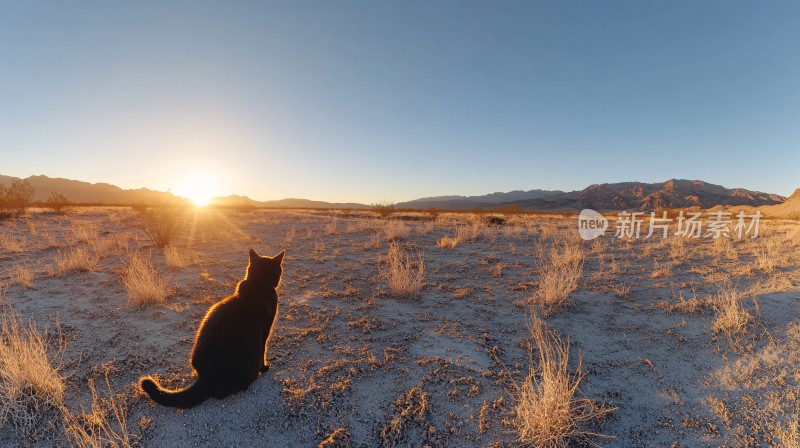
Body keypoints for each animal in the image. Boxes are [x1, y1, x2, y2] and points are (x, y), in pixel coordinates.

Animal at [141, 248, 284, 410]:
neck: (258, 284)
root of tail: (205, 378)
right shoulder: (265, 332)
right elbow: (264, 351)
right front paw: (265, 367)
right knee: (222, 393)